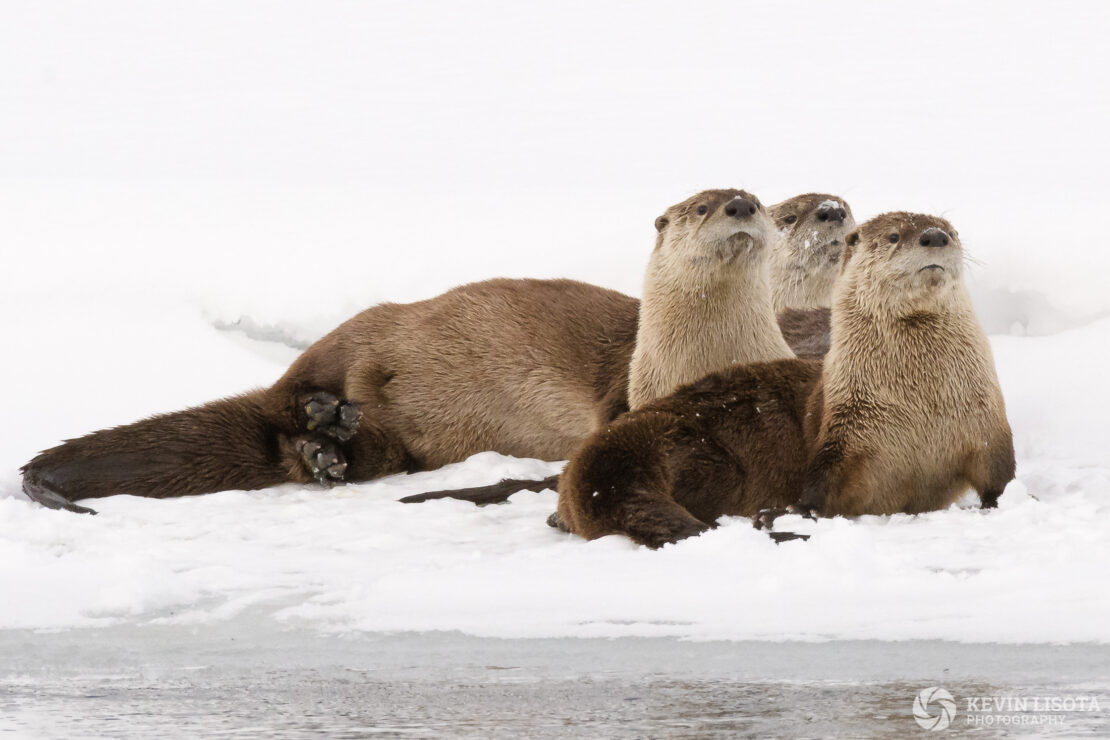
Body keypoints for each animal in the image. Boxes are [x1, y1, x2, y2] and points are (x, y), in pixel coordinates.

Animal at [21, 188, 848, 512]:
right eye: (705, 207)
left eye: (756, 202)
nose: (739, 205)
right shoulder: (627, 394)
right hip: (360, 329)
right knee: (288, 396)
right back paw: (319, 419)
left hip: (401, 439)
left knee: (334, 449)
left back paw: (329, 448)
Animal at [552, 210, 1016, 548]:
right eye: (894, 236)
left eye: (952, 230)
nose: (935, 236)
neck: (922, 404)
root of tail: (599, 463)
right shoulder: (842, 431)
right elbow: (816, 487)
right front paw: (787, 514)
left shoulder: (987, 425)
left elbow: (1000, 480)